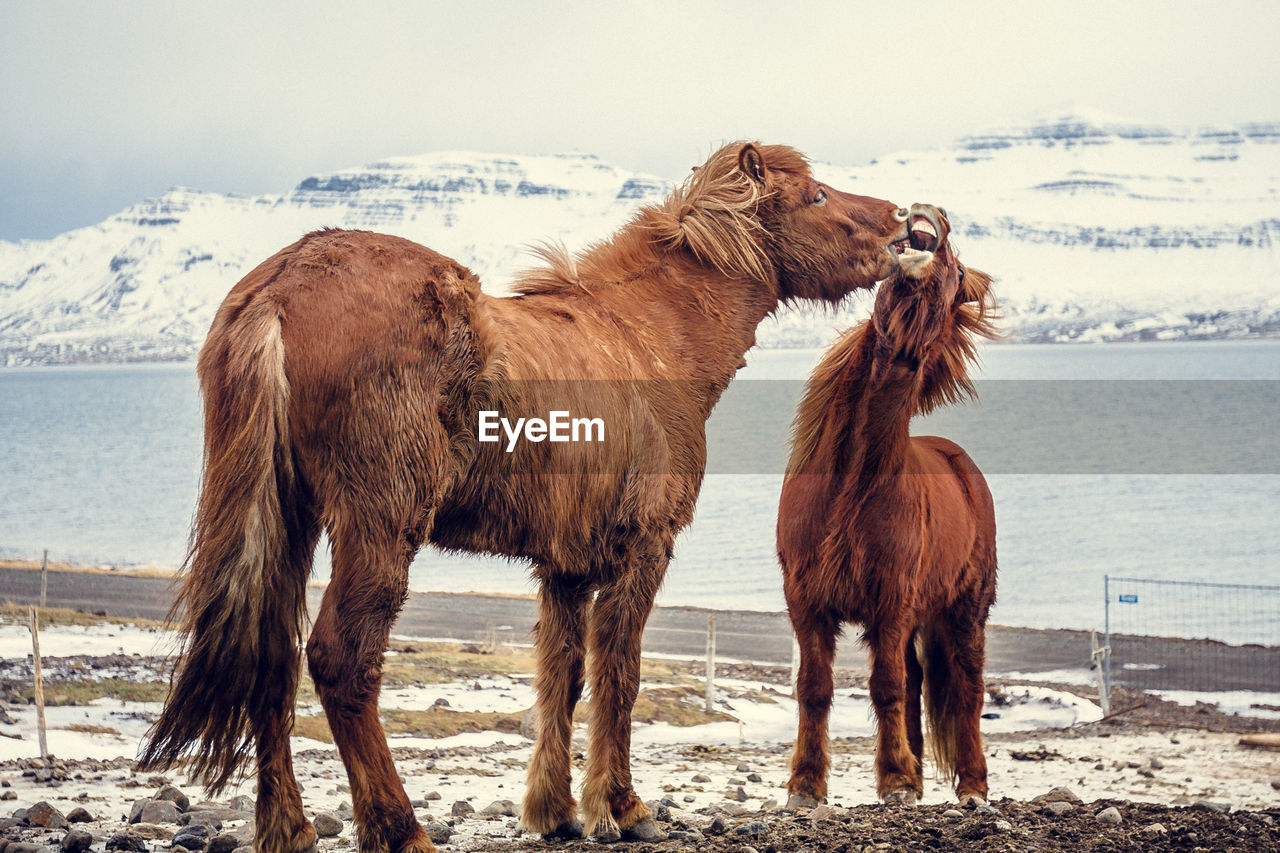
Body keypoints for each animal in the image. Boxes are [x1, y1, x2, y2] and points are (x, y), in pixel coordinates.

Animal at [140, 142, 916, 845]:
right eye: (816, 195)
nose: (904, 225)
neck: (651, 338)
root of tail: (279, 290)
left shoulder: (566, 567)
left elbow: (561, 677)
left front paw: (556, 811)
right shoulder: (644, 548)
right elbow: (619, 674)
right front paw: (622, 807)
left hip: (290, 517)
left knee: (269, 653)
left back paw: (289, 828)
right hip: (379, 524)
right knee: (341, 658)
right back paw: (398, 827)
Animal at [778, 204, 998, 804]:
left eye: (959, 270)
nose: (932, 215)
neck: (850, 486)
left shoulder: (891, 601)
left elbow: (885, 687)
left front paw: (895, 779)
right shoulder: (806, 601)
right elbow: (815, 688)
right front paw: (806, 786)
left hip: (965, 608)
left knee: (966, 689)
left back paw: (971, 788)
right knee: (920, 683)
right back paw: (922, 778)